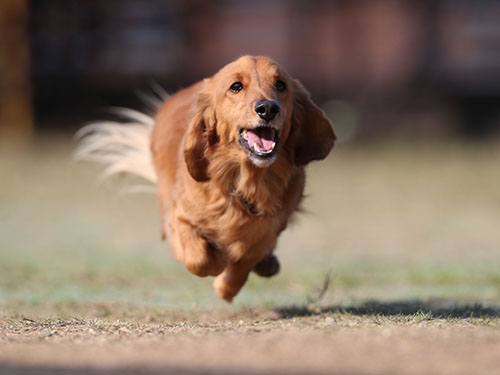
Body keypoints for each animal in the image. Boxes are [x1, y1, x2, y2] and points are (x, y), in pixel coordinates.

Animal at [77, 55, 336, 302]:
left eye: (281, 85)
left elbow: (244, 260)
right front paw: (218, 260)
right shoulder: (178, 217)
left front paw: (227, 285)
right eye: (236, 86)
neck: (243, 183)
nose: (268, 108)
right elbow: (200, 259)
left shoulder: (268, 230)